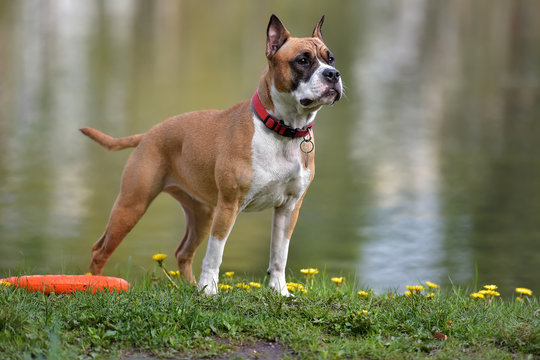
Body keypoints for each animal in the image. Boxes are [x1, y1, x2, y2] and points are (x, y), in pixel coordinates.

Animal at [80, 14, 342, 296]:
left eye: (330, 59)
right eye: (302, 60)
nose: (333, 74)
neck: (283, 131)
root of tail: (148, 134)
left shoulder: (289, 208)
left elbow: (279, 254)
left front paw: (280, 290)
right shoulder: (229, 205)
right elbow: (216, 253)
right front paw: (208, 290)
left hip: (201, 213)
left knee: (183, 253)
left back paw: (189, 285)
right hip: (132, 204)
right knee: (100, 249)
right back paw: (94, 283)